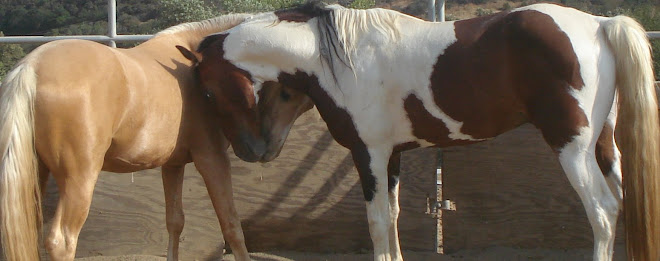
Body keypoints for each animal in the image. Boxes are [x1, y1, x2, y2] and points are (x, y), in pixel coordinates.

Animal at [0, 13, 312, 260]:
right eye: (209, 92)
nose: (254, 149)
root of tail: (31, 67)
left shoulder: (172, 164)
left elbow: (175, 222)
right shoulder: (211, 159)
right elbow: (232, 226)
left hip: (37, 174)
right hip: (79, 178)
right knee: (62, 241)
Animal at [192, 2, 660, 260]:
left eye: (210, 91)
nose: (254, 150)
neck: (343, 58)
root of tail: (600, 24)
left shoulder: (369, 154)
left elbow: (377, 221)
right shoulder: (392, 155)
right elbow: (394, 215)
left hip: (572, 147)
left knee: (602, 211)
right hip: (604, 146)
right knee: (624, 201)